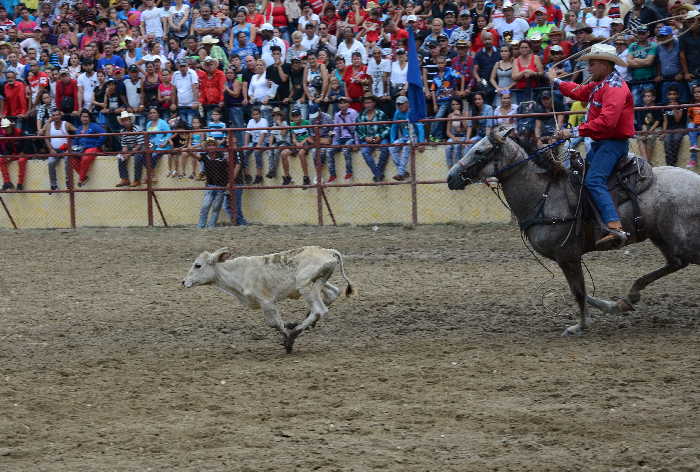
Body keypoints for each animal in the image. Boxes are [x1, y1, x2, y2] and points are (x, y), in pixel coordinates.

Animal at [446, 123, 700, 334]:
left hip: (682, 241)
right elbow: (582, 291)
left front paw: (581, 325)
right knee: (675, 263)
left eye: (480, 151)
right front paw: (598, 309)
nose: (450, 177)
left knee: (681, 261)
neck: (545, 195)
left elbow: (578, 291)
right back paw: (625, 300)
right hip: (663, 238)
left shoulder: (568, 255)